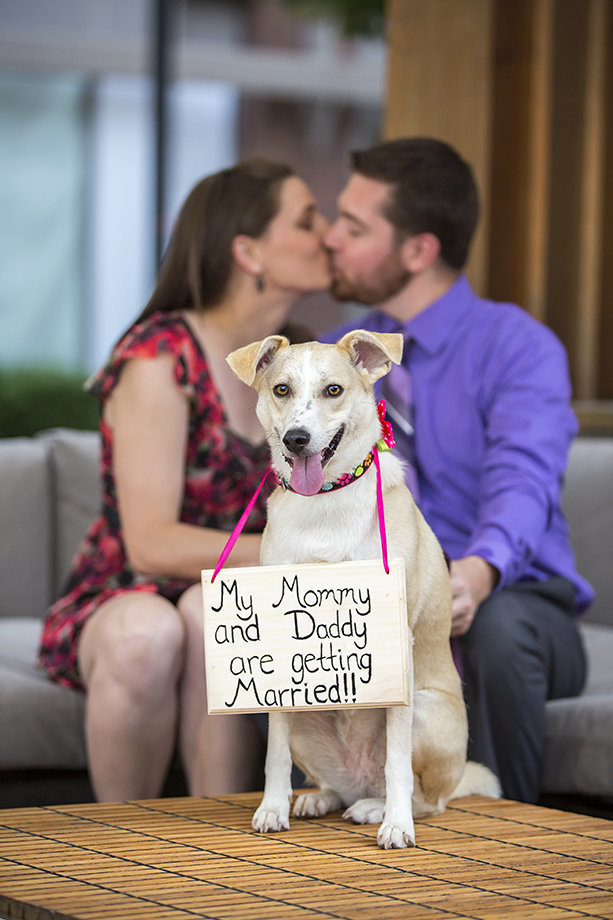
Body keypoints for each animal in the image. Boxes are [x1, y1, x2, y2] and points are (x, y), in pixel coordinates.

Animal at [225, 328, 498, 848]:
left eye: (333, 390)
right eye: (281, 389)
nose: (296, 438)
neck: (324, 501)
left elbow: (398, 765)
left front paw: (396, 826)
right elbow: (274, 757)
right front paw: (272, 809)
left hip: (426, 714)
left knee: (421, 795)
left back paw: (379, 810)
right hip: (305, 720)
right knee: (334, 784)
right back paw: (320, 798)